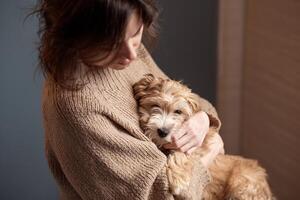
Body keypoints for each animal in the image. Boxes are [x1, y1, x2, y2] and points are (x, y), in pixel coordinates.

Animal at [132, 74, 274, 200]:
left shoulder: (195, 145)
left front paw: (178, 180)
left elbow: (181, 154)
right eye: (155, 105)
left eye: (178, 112)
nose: (162, 131)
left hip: (242, 182)